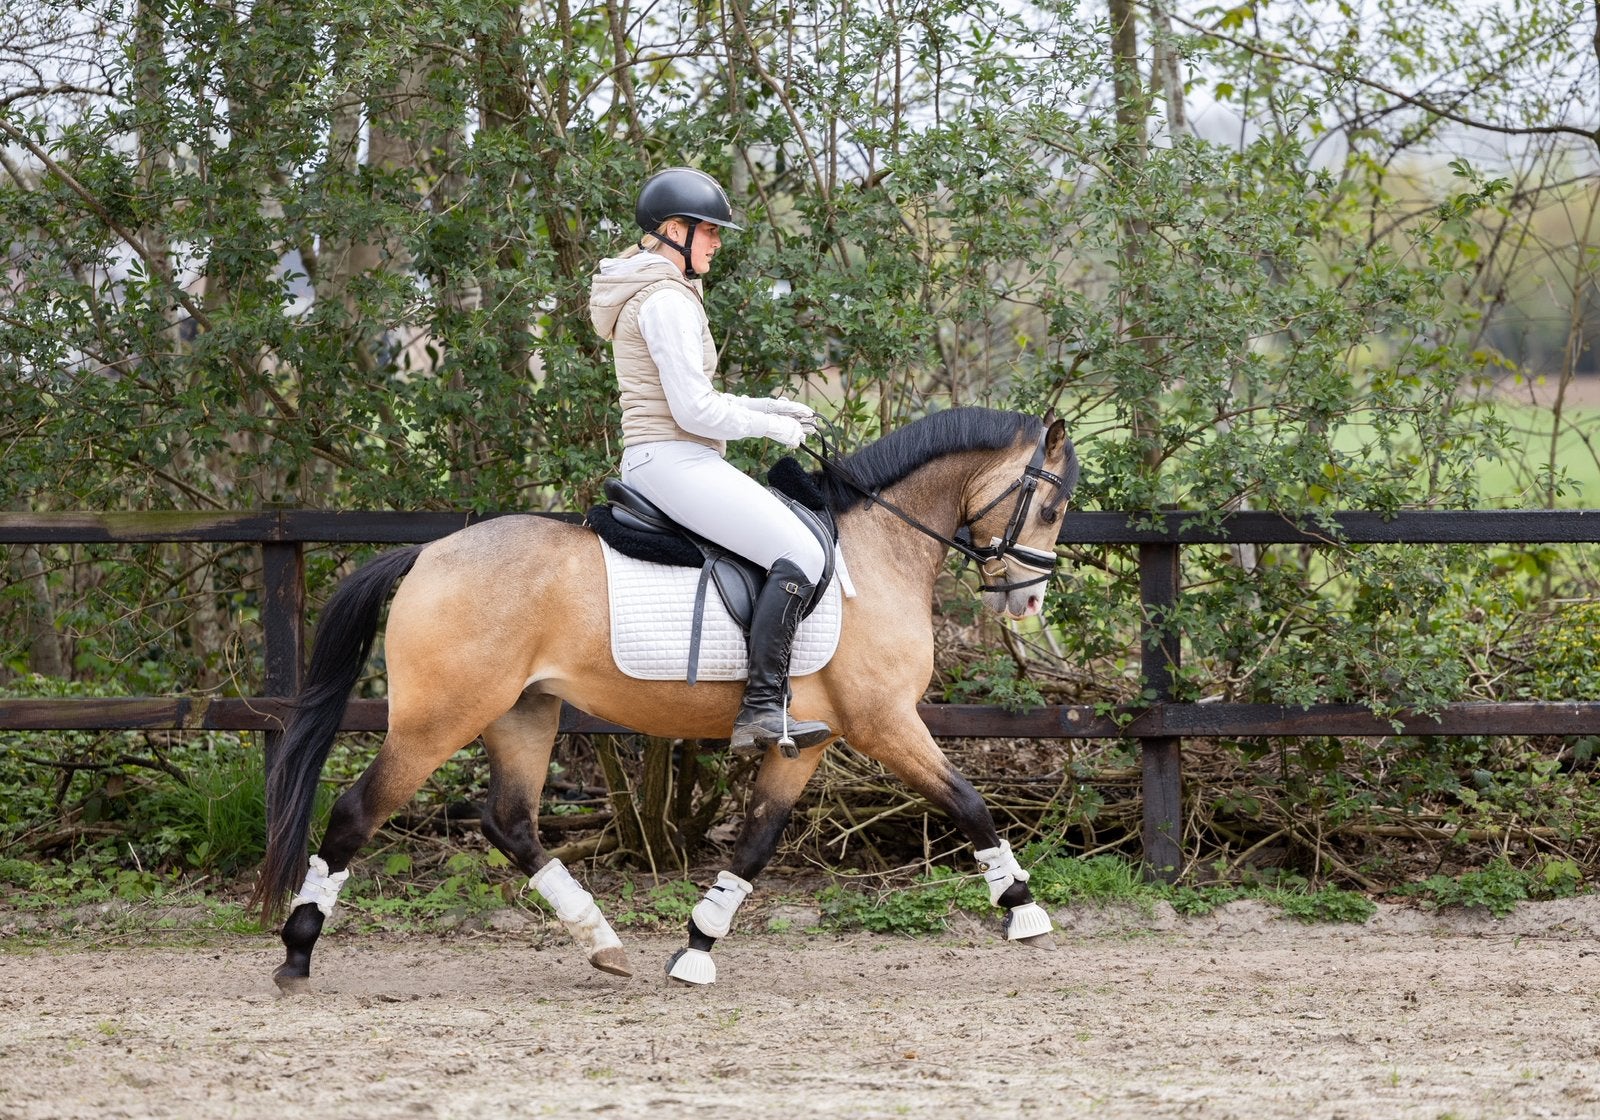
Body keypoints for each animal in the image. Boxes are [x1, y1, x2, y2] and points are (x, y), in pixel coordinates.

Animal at [253, 406, 1079, 989]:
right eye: (1048, 507)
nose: (1029, 601)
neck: (876, 550)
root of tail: (427, 552)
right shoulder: (884, 723)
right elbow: (968, 801)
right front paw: (1025, 908)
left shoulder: (809, 742)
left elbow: (756, 841)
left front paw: (696, 946)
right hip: (438, 720)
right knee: (358, 812)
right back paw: (297, 953)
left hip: (523, 713)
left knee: (509, 823)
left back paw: (603, 943)